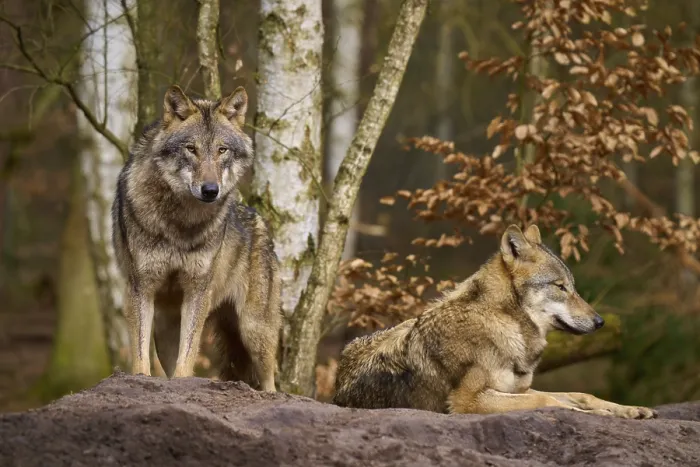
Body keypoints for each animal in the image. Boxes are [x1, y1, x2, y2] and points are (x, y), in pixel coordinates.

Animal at [112, 85, 281, 391]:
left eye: (222, 150)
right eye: (191, 149)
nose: (211, 190)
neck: (181, 223)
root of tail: (261, 222)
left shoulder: (198, 289)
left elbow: (188, 354)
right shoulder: (140, 287)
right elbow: (141, 355)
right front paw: (142, 378)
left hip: (254, 330)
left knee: (270, 381)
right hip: (167, 327)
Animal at [333, 224, 657, 418]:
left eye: (572, 286)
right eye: (560, 287)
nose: (600, 322)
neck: (506, 323)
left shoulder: (516, 390)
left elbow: (580, 394)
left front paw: (629, 410)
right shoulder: (468, 402)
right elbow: (550, 402)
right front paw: (599, 415)